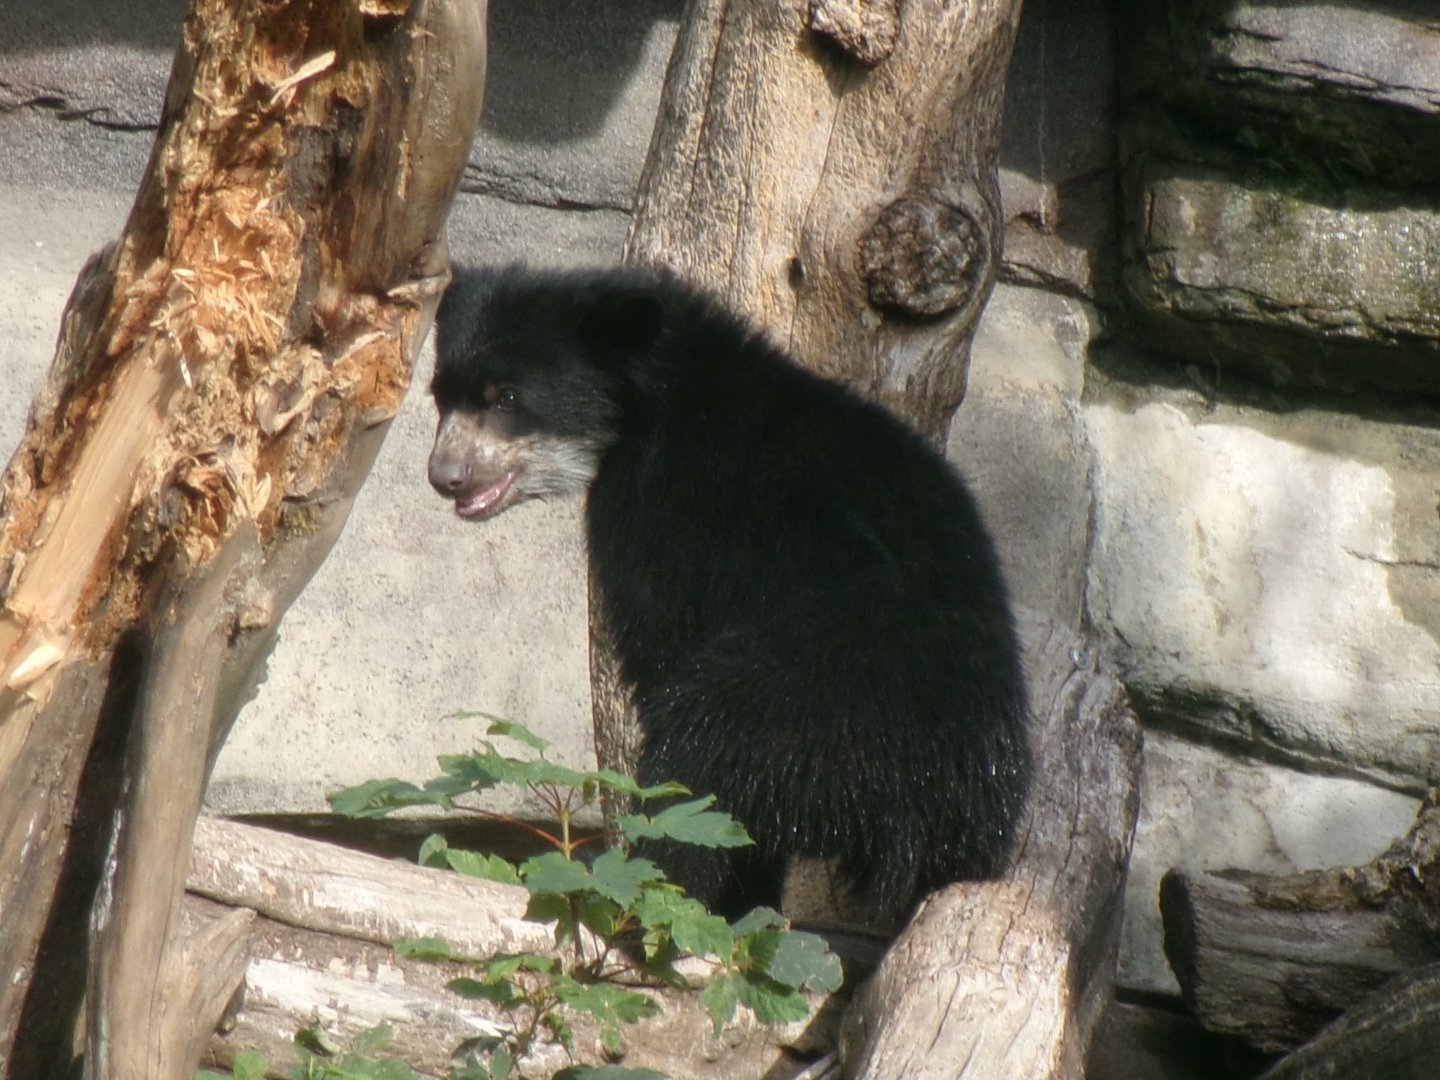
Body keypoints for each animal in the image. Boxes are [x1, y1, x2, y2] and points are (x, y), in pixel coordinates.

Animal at [427, 264, 1030, 921]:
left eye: (507, 398)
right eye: (441, 396)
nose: (446, 476)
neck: (657, 389)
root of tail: (929, 801)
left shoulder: (665, 506)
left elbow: (658, 639)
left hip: (806, 704)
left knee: (699, 767)